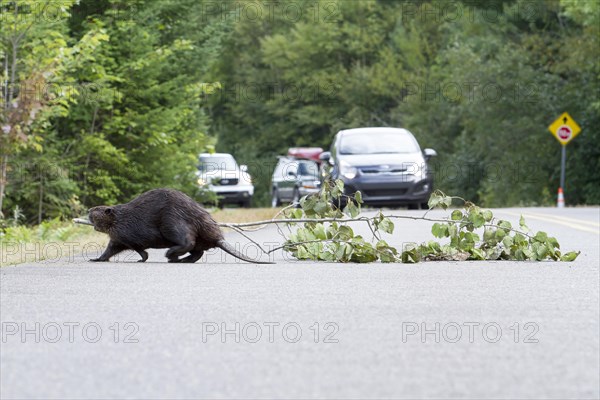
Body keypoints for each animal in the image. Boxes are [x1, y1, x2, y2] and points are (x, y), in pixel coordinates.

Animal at [88, 189, 274, 264]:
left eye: (97, 209)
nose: (88, 210)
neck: (119, 217)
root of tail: (219, 239)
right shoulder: (117, 237)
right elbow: (110, 249)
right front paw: (95, 259)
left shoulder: (125, 233)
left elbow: (137, 248)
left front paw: (142, 258)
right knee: (198, 251)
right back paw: (182, 259)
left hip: (172, 223)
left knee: (188, 242)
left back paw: (171, 256)